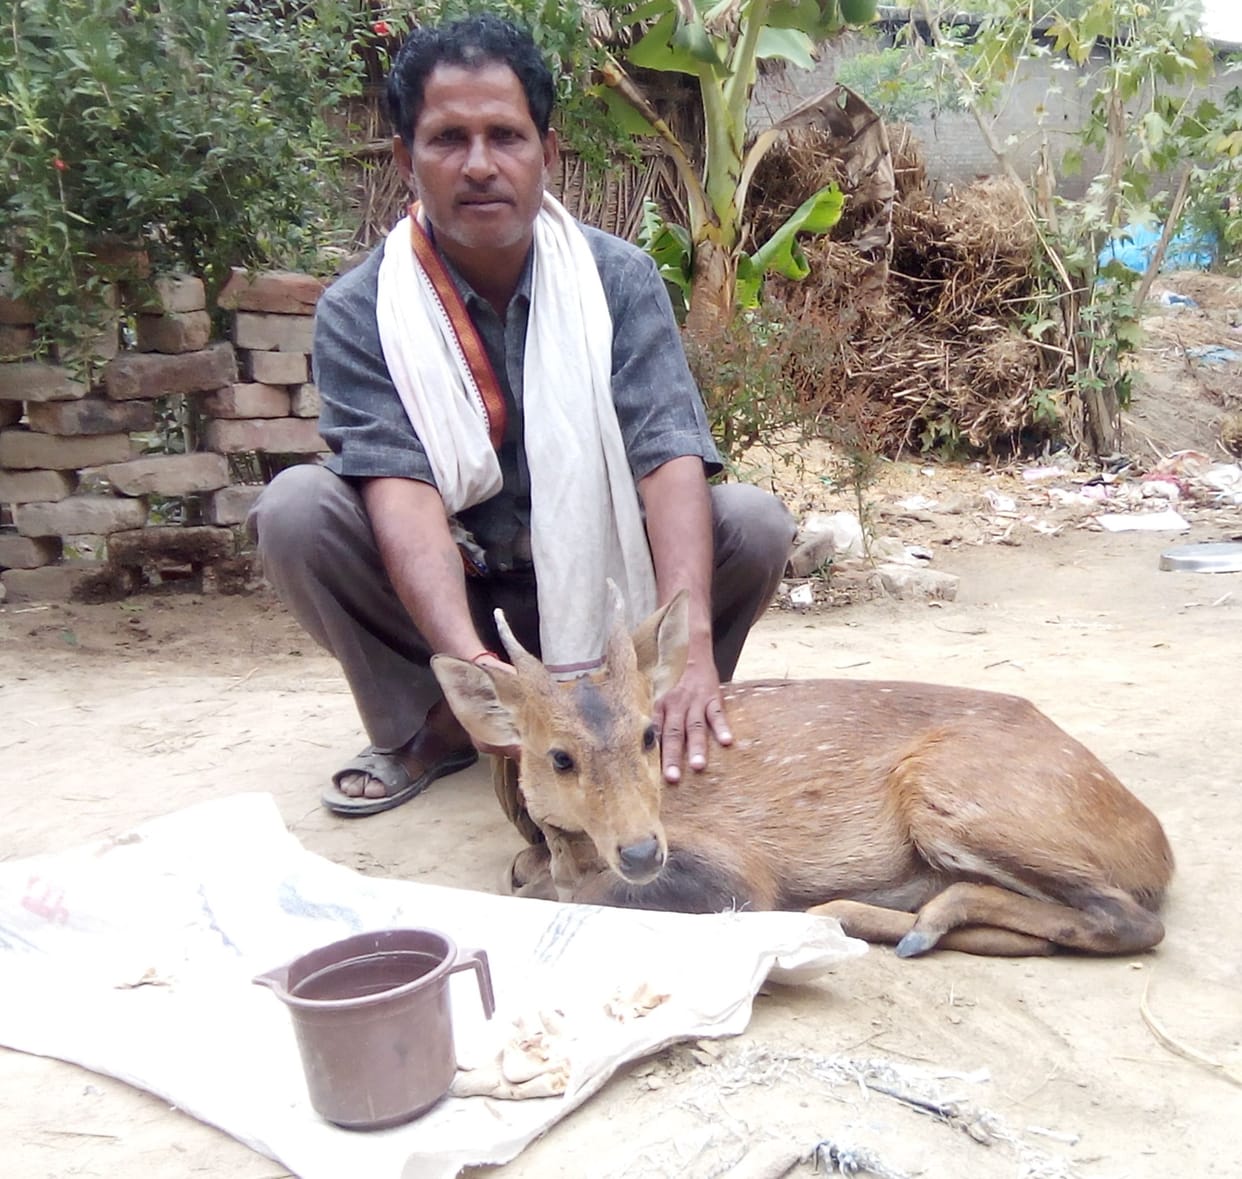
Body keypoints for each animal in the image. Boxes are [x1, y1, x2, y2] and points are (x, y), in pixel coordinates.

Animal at [431, 591, 1174, 957]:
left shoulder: (734, 865)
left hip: (959, 793)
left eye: (649, 733)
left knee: (1130, 916)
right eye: (558, 755)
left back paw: (889, 919)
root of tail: (1156, 847)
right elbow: (524, 873)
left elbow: (571, 898)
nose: (642, 850)